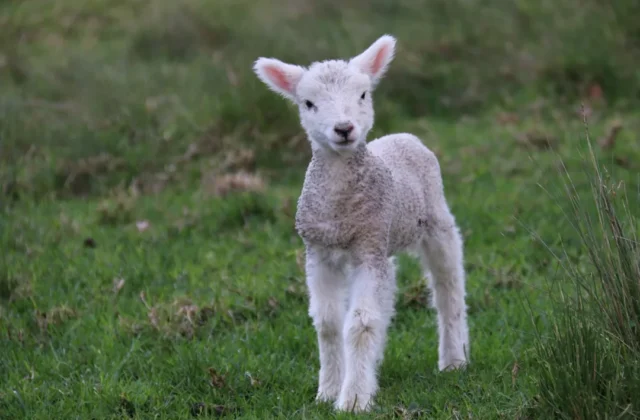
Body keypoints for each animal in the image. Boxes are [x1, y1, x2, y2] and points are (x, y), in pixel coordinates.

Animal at [253, 34, 469, 413]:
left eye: (363, 95)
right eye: (308, 103)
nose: (344, 129)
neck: (341, 209)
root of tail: (403, 136)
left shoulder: (367, 250)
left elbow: (361, 323)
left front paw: (353, 399)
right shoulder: (320, 252)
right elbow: (328, 323)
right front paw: (328, 391)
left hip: (435, 221)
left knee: (448, 287)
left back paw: (453, 359)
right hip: (384, 241)